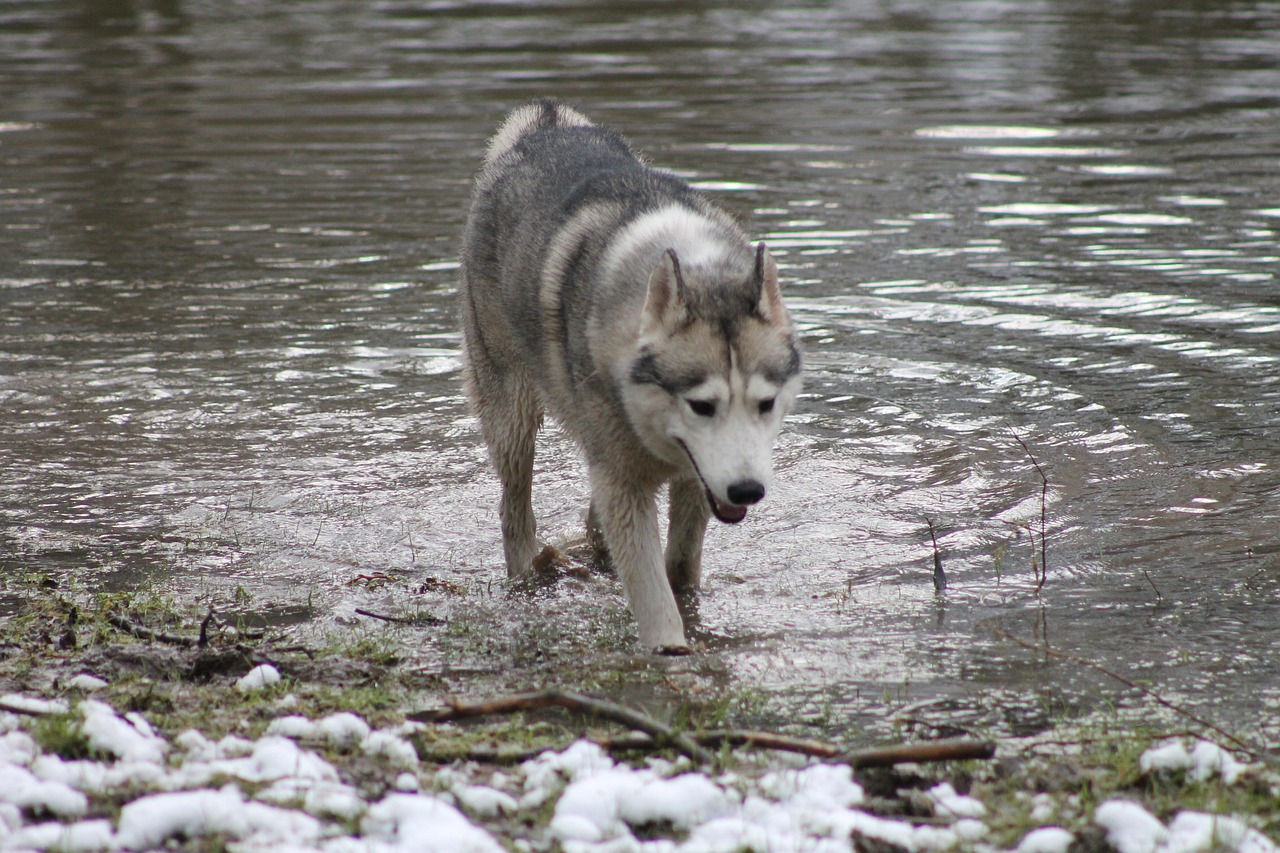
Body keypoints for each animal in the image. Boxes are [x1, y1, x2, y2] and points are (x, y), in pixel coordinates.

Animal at [458, 99, 798, 650]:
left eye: (765, 404)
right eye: (702, 405)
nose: (747, 490)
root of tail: (544, 120)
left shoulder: (696, 476)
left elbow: (679, 568)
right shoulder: (625, 483)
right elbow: (652, 589)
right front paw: (670, 650)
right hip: (512, 416)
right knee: (514, 508)